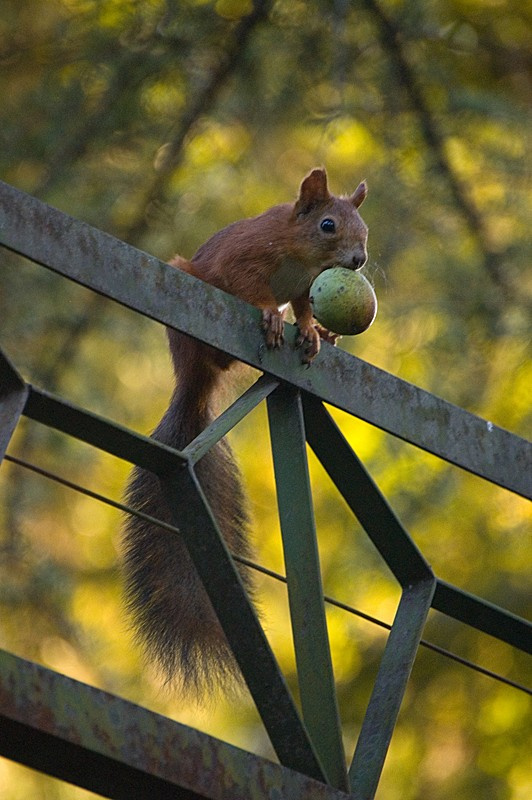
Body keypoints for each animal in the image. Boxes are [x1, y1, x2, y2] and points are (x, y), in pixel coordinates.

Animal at [122, 168, 368, 695]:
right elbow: (252, 289)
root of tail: (193, 386)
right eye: (328, 225)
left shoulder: (302, 288)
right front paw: (273, 316)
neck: (300, 256)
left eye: (365, 228)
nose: (359, 260)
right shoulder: (246, 260)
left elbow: (304, 308)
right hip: (190, 306)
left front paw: (311, 331)